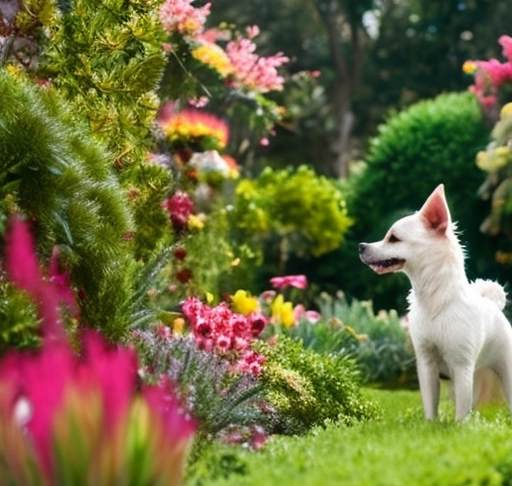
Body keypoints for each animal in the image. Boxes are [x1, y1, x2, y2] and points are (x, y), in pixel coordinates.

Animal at [358, 184, 512, 420]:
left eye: (393, 238)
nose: (361, 246)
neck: (434, 301)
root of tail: (494, 305)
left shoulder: (461, 365)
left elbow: (461, 411)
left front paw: (460, 426)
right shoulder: (426, 364)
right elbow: (431, 403)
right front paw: (431, 424)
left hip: (505, 371)